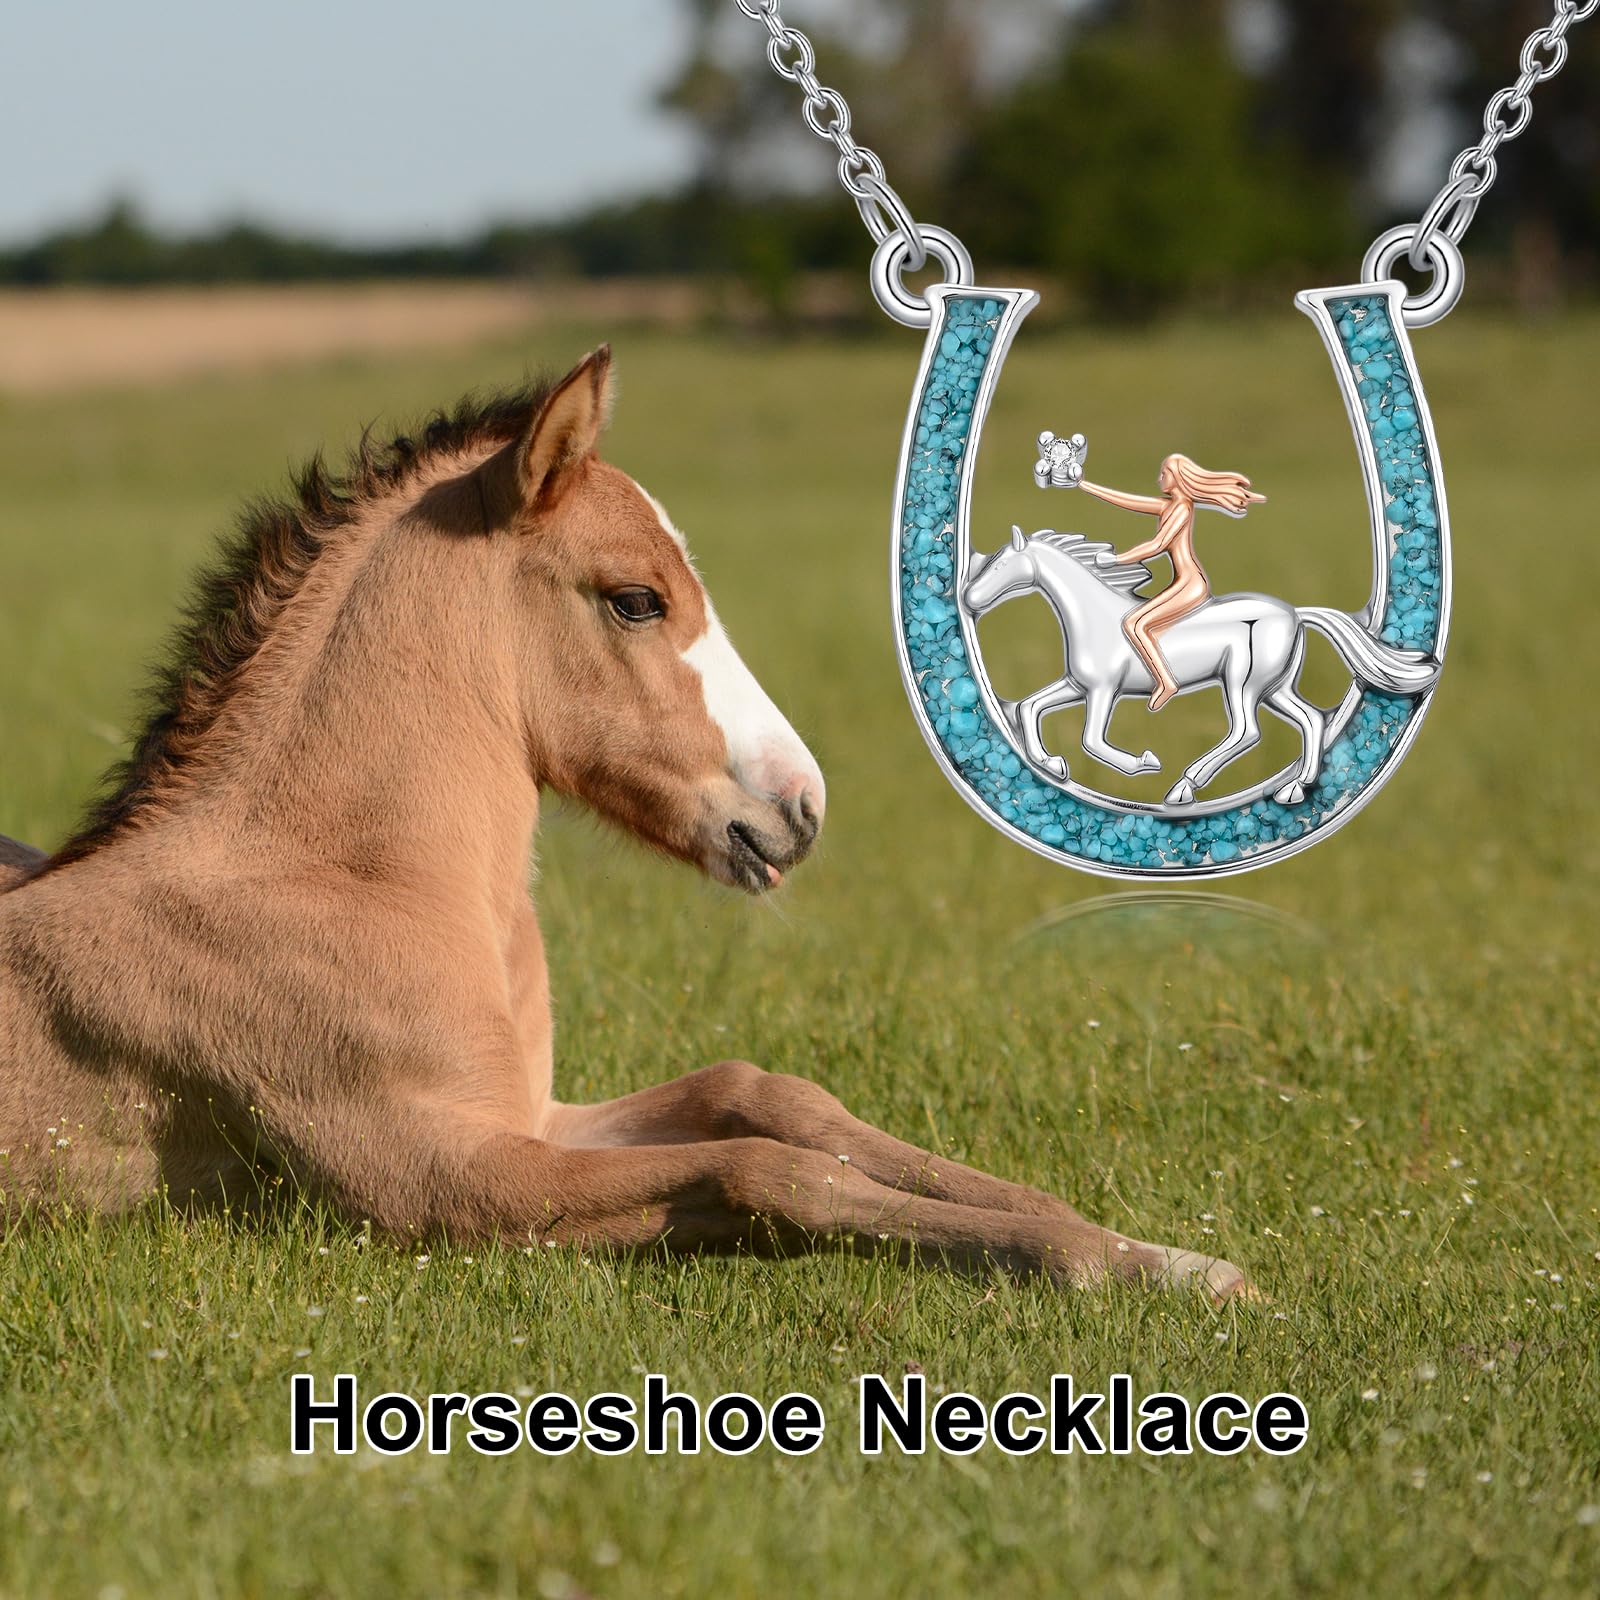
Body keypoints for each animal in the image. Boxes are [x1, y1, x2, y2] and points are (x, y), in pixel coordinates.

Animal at [0, 349, 1250, 1299]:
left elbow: (764, 1096)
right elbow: (764, 1171)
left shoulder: (537, 1116)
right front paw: (1114, 1264)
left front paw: (1146, 1247)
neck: (343, 882)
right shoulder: (434, 1179)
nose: (798, 808)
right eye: (635, 598)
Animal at [963, 526, 1440, 805]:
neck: (1096, 617)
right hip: (1275, 688)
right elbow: (1030, 706)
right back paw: (1292, 789)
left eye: (1000, 564)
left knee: (1248, 731)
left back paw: (1183, 786)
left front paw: (1145, 763)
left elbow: (1092, 741)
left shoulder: (1102, 691)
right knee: (1311, 720)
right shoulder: (1077, 685)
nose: (968, 600)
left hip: (1243, 682)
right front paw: (1051, 765)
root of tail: (1295, 613)